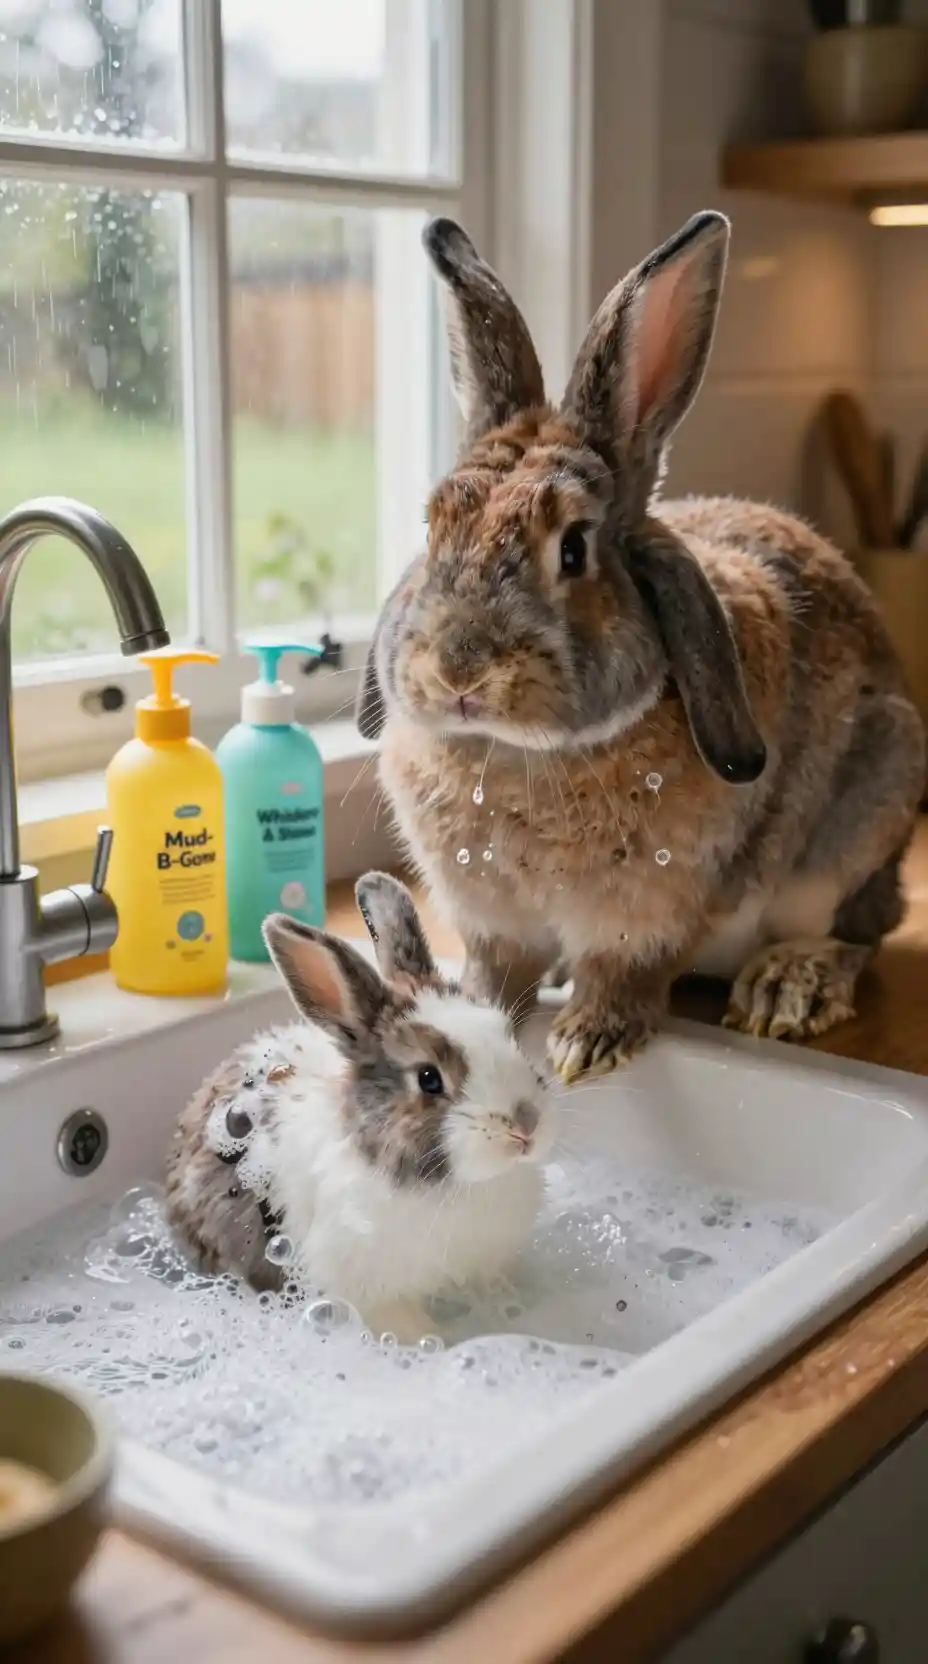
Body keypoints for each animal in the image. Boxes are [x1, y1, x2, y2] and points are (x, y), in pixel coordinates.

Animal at [164, 871, 553, 1344]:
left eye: (507, 1034)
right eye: (429, 1078)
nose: (526, 1124)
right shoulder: (367, 1287)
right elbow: (398, 1321)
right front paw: (432, 1342)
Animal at [356, 211, 925, 1085]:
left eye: (573, 549)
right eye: (433, 527)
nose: (458, 671)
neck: (512, 754)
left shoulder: (648, 910)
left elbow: (625, 971)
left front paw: (588, 1042)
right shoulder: (489, 918)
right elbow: (497, 973)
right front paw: (473, 1013)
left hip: (875, 796)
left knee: (852, 932)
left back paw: (787, 986)